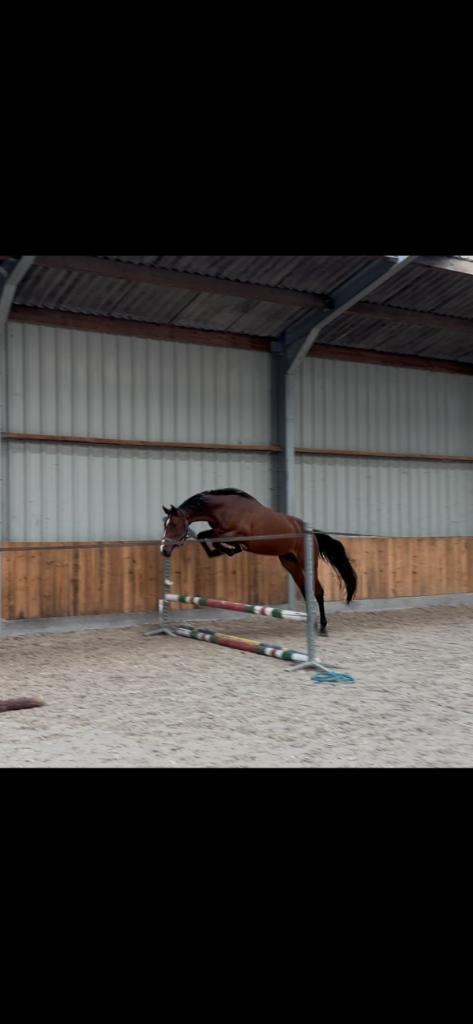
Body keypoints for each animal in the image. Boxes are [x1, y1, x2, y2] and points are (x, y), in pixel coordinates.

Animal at [160, 489, 357, 635]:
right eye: (165, 524)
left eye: (174, 524)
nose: (164, 550)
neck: (224, 509)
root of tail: (311, 532)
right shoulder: (219, 531)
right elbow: (205, 536)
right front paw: (221, 552)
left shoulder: (236, 534)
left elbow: (215, 538)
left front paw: (229, 550)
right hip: (290, 563)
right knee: (307, 590)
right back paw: (312, 624)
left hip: (305, 563)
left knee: (318, 591)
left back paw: (322, 627)